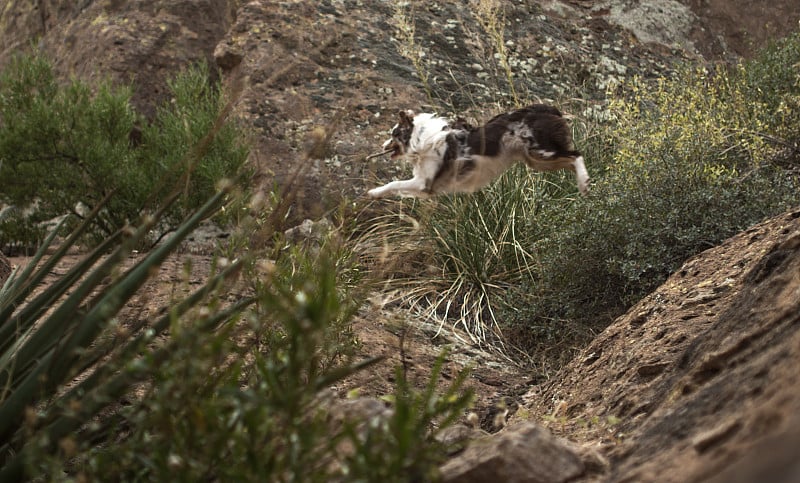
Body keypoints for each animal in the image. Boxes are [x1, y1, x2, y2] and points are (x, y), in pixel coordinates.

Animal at [368, 104, 588, 199]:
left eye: (393, 134)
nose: (382, 146)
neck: (421, 140)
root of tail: (547, 108)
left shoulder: (424, 183)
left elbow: (394, 183)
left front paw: (374, 192)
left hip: (540, 152)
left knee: (576, 155)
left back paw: (584, 183)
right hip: (537, 160)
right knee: (571, 159)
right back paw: (582, 183)